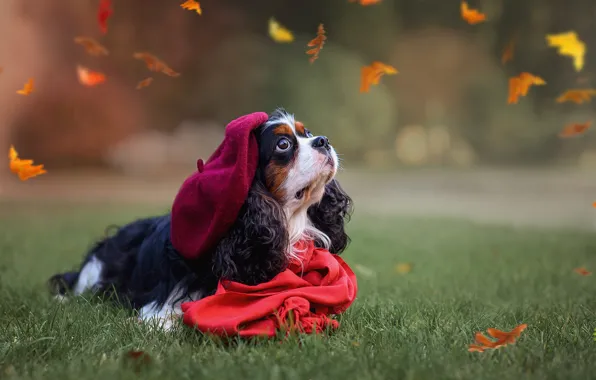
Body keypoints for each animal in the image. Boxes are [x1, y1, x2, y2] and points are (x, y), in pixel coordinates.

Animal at [50, 107, 354, 330]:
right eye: (283, 144)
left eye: (308, 133)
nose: (323, 141)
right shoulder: (163, 305)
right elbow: (168, 319)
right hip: (98, 268)